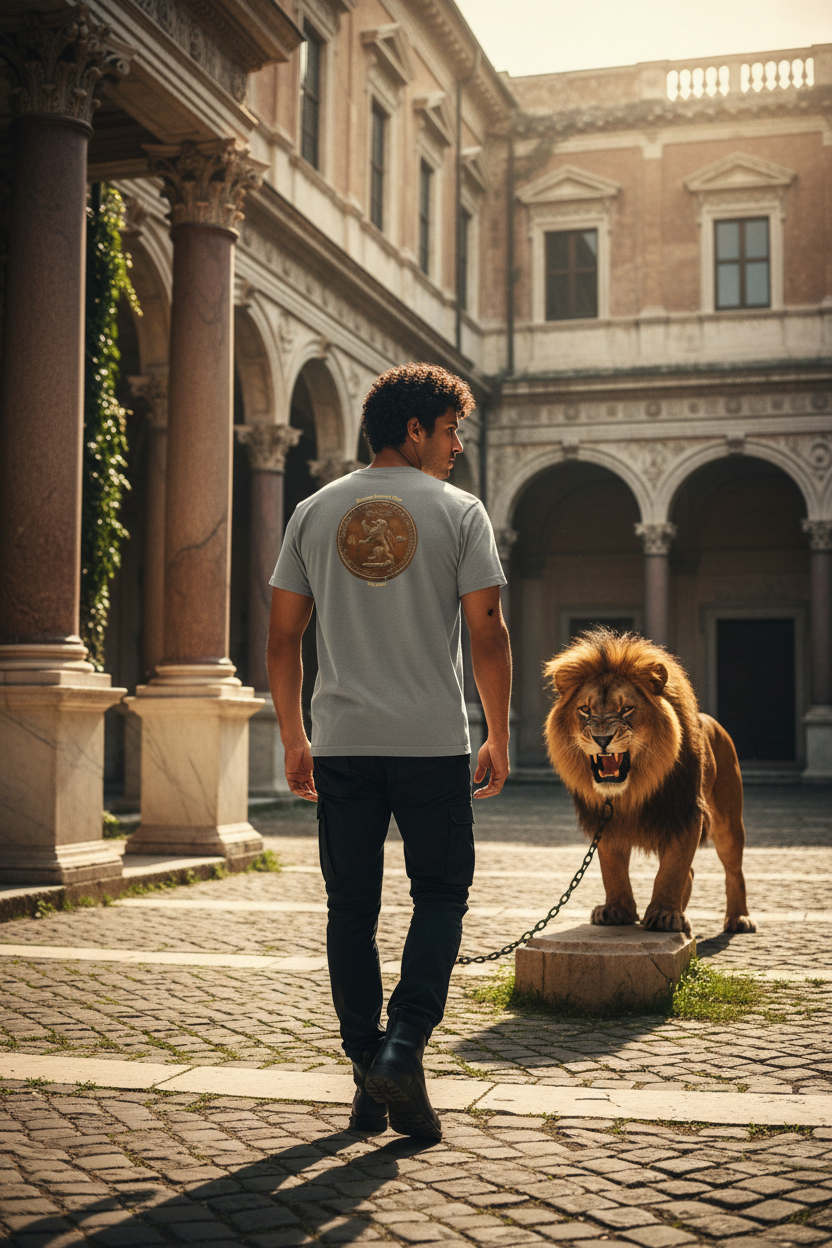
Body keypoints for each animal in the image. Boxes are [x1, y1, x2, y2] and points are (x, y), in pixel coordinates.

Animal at [544, 628, 755, 938]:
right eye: (585, 709)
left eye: (626, 709)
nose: (602, 739)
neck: (631, 790)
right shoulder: (604, 821)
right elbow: (612, 868)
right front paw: (617, 910)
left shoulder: (685, 813)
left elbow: (673, 869)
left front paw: (666, 914)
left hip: (729, 821)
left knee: (734, 869)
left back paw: (739, 918)